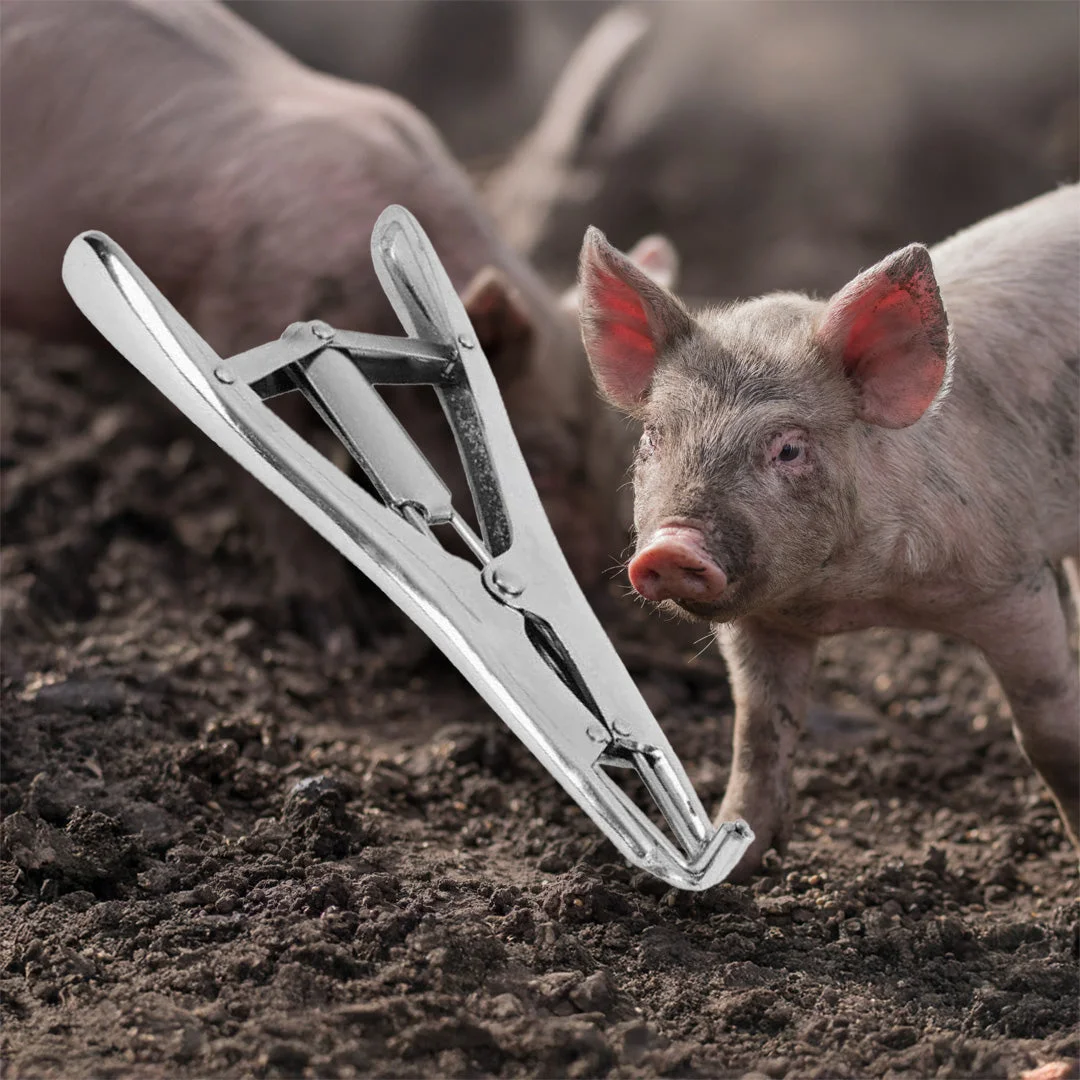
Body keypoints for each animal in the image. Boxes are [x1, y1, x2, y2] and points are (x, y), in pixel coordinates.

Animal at [579, 183, 1080, 877]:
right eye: (653, 436)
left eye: (789, 448)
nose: (672, 546)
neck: (852, 598)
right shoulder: (759, 624)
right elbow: (757, 739)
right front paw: (735, 866)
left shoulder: (1013, 579)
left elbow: (1047, 732)